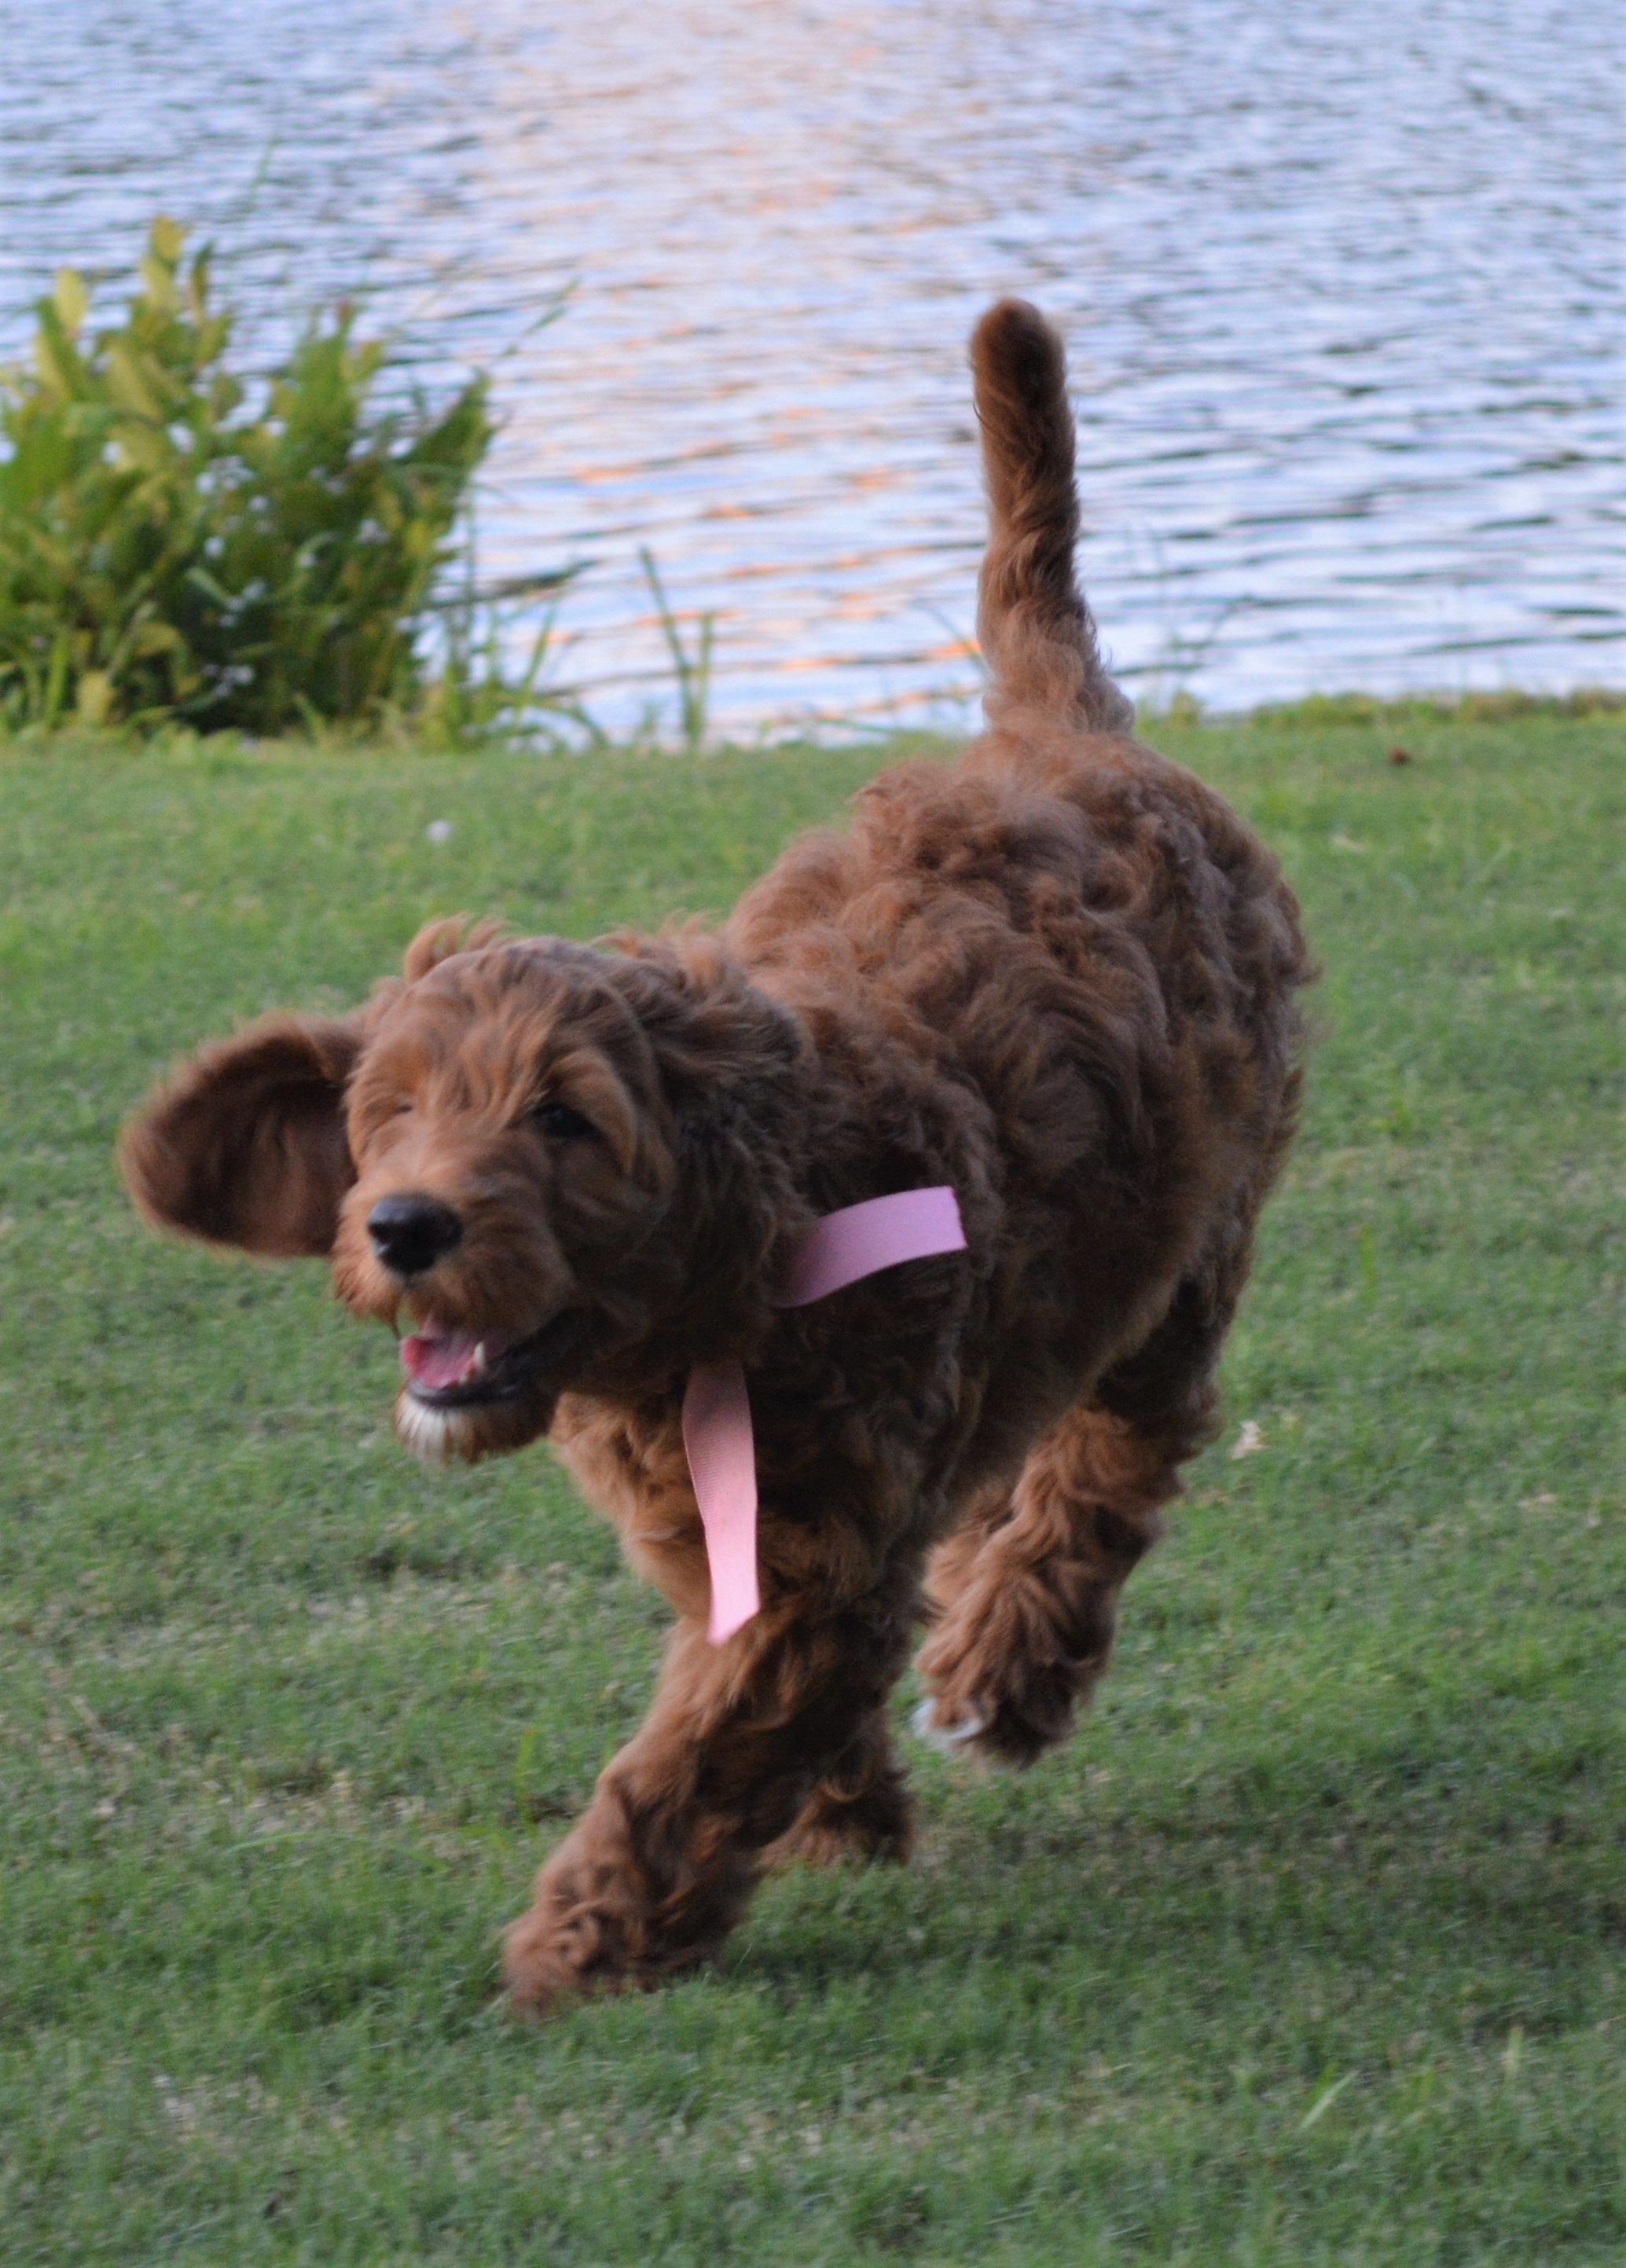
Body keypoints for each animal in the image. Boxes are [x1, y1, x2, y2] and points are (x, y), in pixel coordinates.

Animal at [120, 306, 1315, 2023]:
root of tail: (1054, 731)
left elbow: (691, 1754)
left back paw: (1005, 1670)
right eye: (385, 1117)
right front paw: (838, 1809)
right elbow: (762, 1685)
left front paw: (581, 1941)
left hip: (1182, 1251)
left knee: (1109, 1465)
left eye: (562, 1122)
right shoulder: (744, 1532)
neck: (738, 1272)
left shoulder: (812, 1547)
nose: (404, 1226)